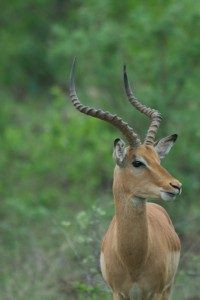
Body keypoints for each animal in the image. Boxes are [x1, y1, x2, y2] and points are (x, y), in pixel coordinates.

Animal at [69, 59, 182, 300]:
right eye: (137, 162)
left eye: (157, 158)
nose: (175, 186)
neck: (133, 259)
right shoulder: (117, 293)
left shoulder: (155, 292)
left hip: (168, 289)